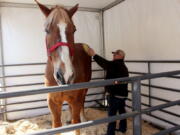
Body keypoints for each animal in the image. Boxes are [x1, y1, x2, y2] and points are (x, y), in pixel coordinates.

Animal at [34, 0, 91, 134]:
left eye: (74, 29)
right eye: (46, 30)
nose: (65, 75)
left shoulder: (76, 100)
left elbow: (76, 125)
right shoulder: (53, 103)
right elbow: (57, 126)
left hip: (84, 89)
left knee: (83, 101)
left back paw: (84, 118)